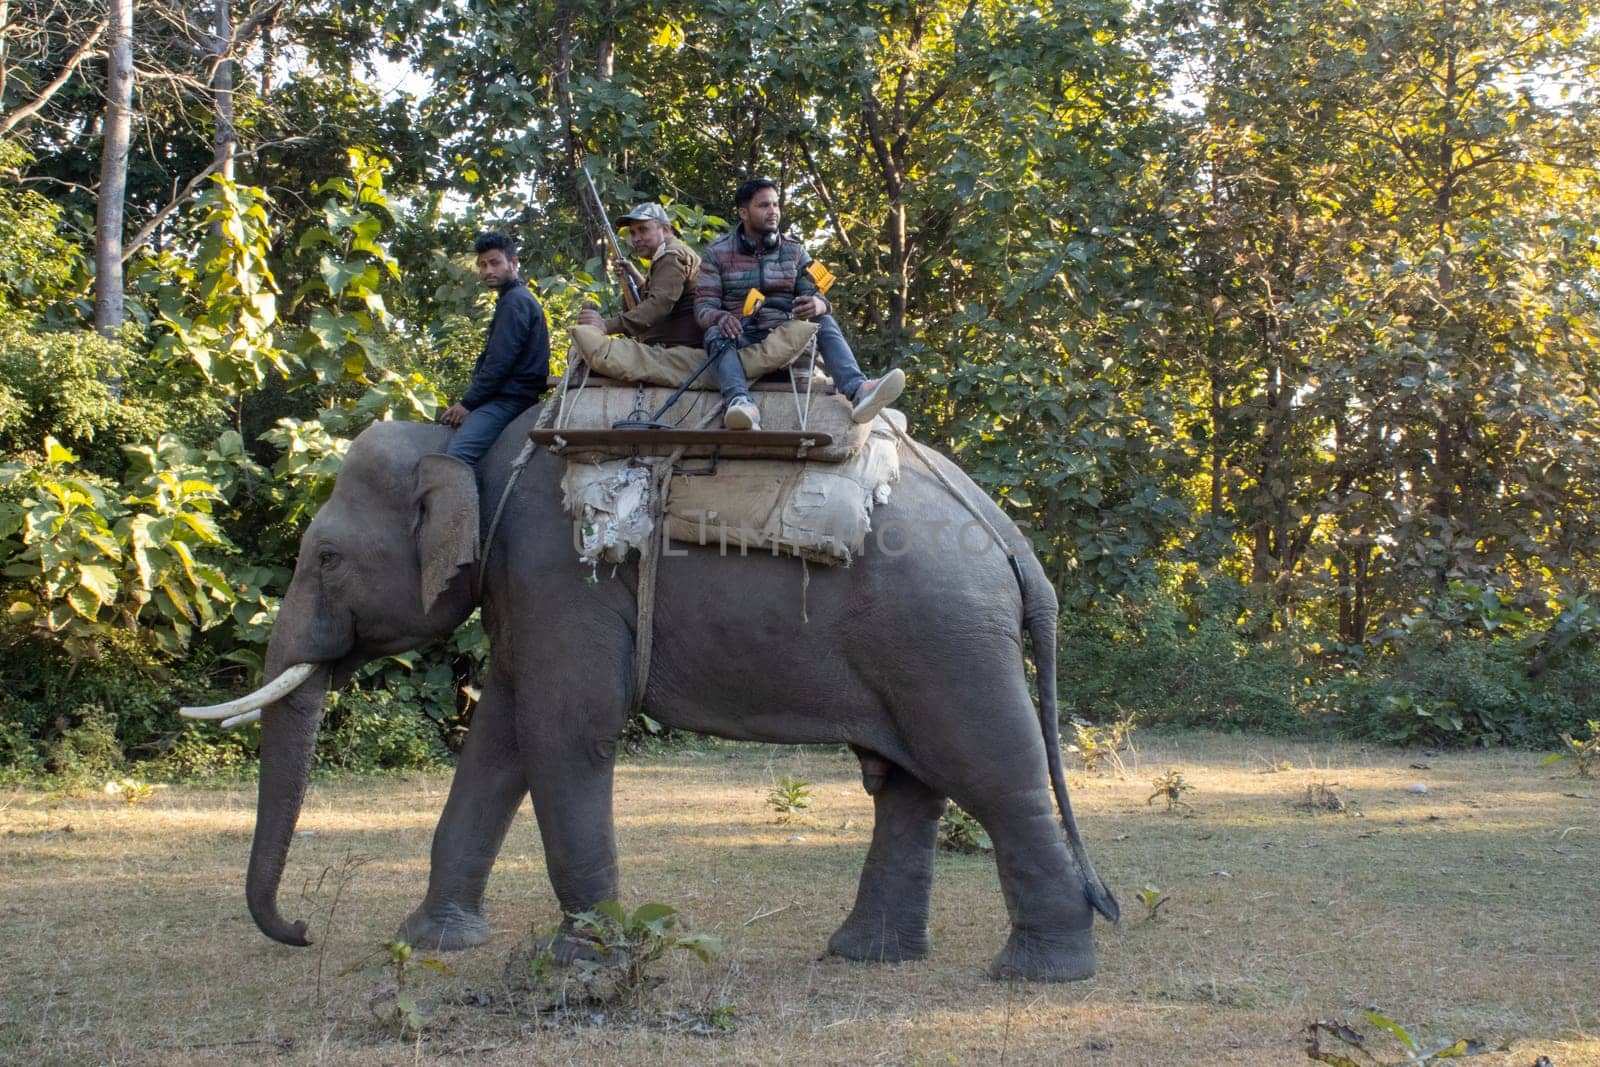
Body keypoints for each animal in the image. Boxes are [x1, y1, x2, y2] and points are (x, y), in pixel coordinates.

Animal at [184, 409, 1113, 985]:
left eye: (326, 558)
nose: (302, 929)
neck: (467, 446)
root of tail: (1015, 545)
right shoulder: (528, 594)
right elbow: (500, 743)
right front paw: (432, 940)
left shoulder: (558, 571)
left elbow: (565, 734)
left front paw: (582, 963)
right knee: (909, 786)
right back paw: (864, 956)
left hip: (945, 639)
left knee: (991, 775)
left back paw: (1038, 972)